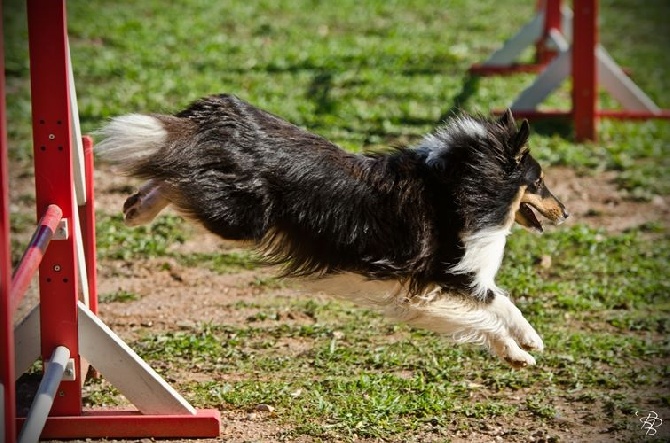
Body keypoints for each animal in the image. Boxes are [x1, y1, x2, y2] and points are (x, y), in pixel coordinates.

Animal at [96, 95, 568, 370]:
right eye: (540, 181)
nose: (565, 212)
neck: (463, 184)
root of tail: (216, 116)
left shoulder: (441, 288)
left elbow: (495, 307)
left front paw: (525, 344)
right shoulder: (438, 282)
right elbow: (491, 310)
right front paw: (522, 346)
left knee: (168, 168)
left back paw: (136, 207)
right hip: (239, 216)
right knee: (174, 173)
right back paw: (143, 201)